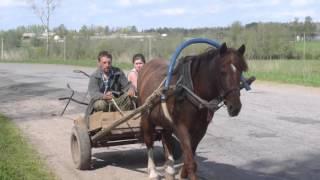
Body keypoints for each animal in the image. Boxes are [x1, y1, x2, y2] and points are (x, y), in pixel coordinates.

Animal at [137, 43, 248, 179]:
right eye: (222, 71)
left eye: (241, 70)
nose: (235, 107)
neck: (190, 90)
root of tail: (146, 66)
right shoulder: (181, 127)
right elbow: (191, 161)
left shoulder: (201, 130)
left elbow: (190, 154)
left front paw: (182, 173)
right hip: (146, 116)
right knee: (149, 141)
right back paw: (152, 171)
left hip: (165, 121)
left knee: (167, 138)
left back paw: (170, 168)